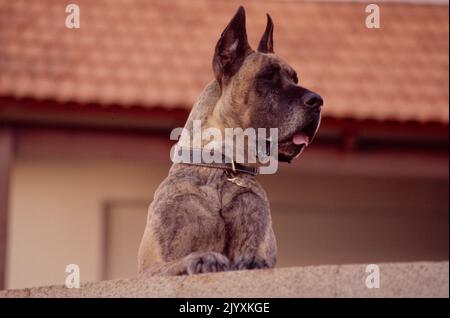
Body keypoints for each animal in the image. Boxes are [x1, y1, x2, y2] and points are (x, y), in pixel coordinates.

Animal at [138, 5, 324, 276]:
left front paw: (253, 261)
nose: (318, 101)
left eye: (295, 79)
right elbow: (175, 263)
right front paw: (202, 258)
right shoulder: (151, 266)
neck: (223, 169)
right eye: (267, 77)